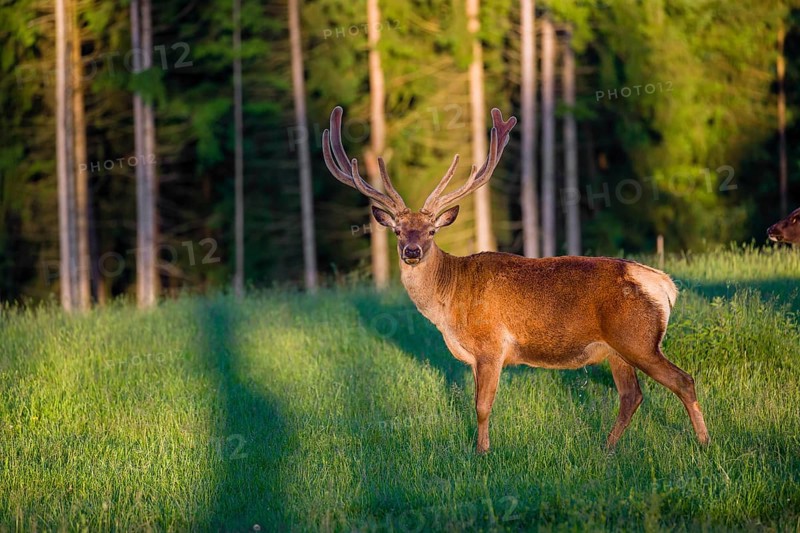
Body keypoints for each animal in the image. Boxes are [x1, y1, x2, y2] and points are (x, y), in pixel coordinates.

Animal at [322, 106, 710, 454]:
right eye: (399, 231)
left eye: (432, 231)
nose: (412, 251)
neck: (447, 305)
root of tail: (665, 286)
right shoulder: (474, 357)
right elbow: (477, 403)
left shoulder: (491, 344)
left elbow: (482, 406)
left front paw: (482, 453)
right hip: (617, 349)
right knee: (632, 395)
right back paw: (607, 448)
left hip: (638, 339)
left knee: (683, 381)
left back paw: (704, 443)